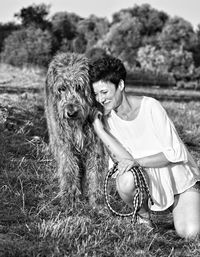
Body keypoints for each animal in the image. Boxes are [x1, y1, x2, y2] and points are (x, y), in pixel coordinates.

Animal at [44, 52, 105, 206]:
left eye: (79, 87)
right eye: (62, 88)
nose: (71, 113)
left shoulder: (95, 144)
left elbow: (96, 172)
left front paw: (97, 200)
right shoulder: (65, 143)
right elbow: (69, 168)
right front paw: (69, 197)